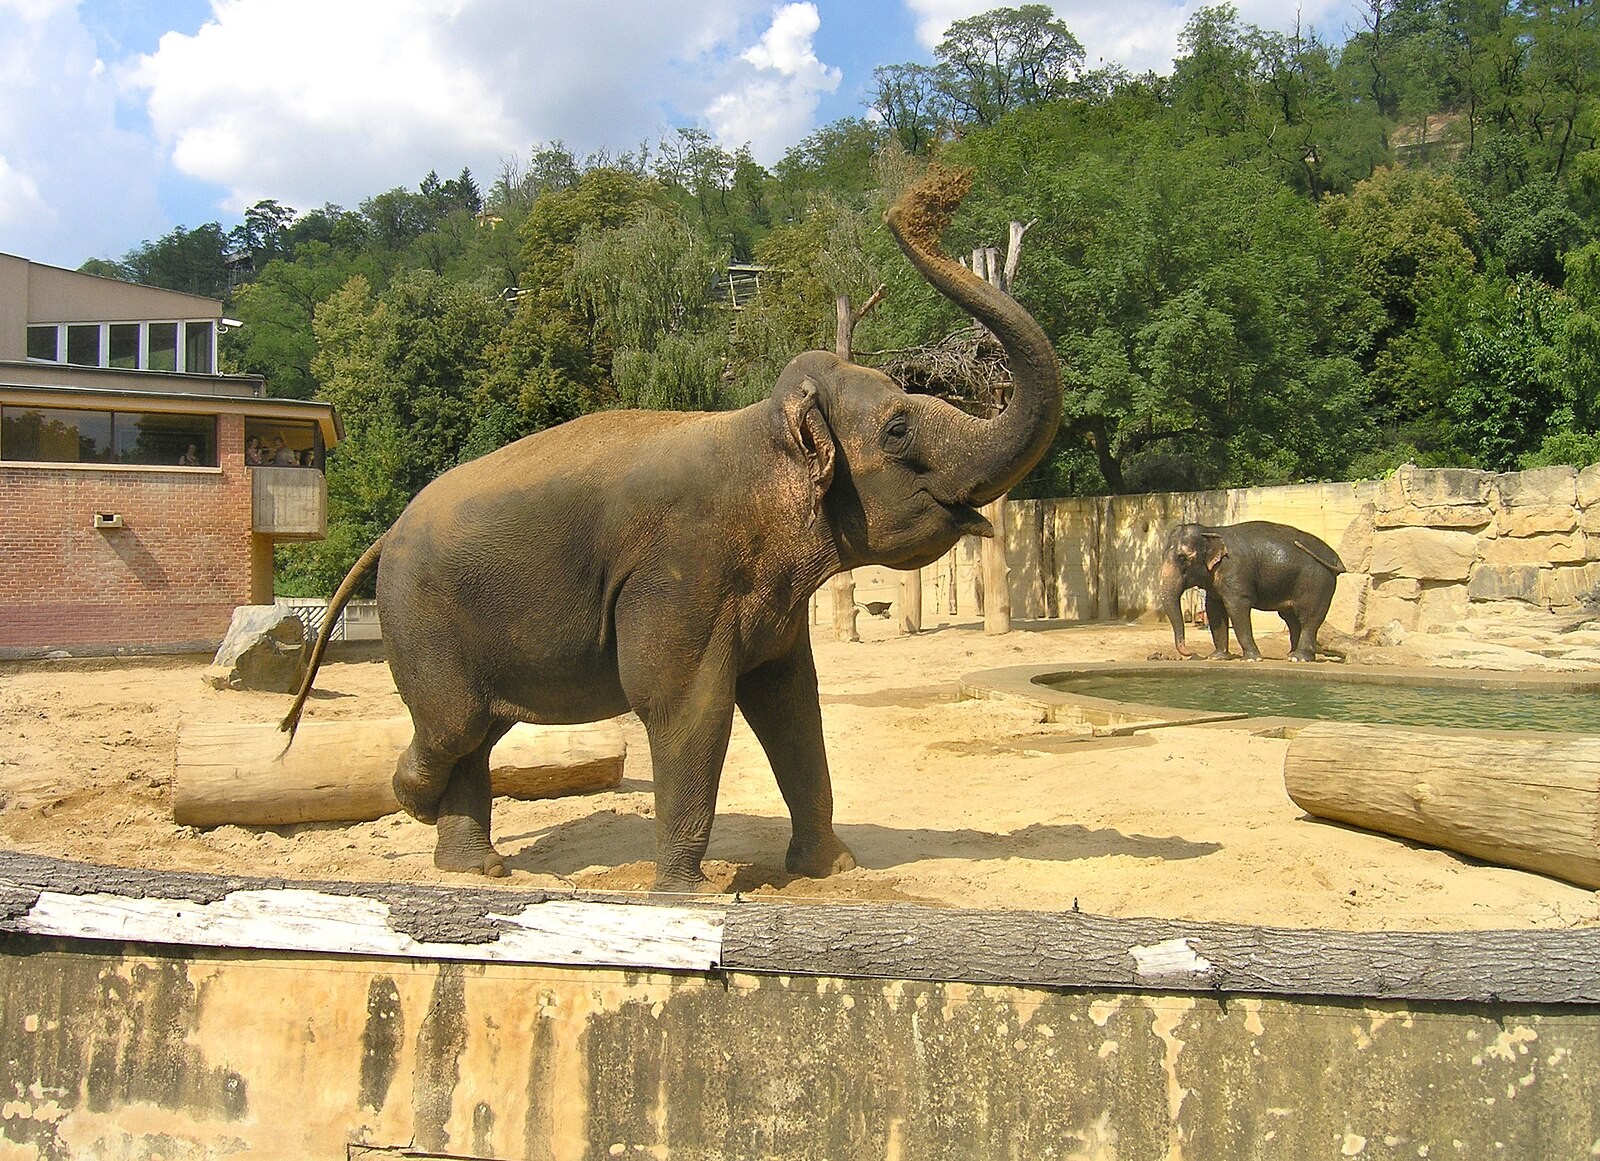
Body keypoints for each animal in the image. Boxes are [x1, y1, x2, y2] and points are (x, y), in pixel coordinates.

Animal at [280, 164, 1062, 892]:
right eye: (899, 429)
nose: (921, 201)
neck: (757, 435)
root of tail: (385, 534)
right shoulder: (680, 572)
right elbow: (687, 705)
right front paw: (689, 894)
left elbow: (792, 703)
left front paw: (832, 870)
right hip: (419, 618)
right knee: (454, 725)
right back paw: (413, 800)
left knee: (478, 732)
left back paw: (478, 868)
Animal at [1158, 521, 1345, 663]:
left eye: (1183, 558)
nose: (1192, 652)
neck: (1211, 530)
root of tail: (1335, 559)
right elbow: (1214, 609)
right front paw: (1216, 657)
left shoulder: (1235, 571)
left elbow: (1237, 607)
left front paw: (1250, 659)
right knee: (1291, 619)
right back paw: (1292, 655)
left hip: (1317, 581)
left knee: (1308, 617)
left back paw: (1298, 658)